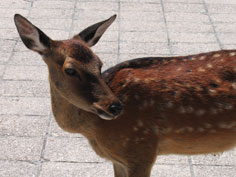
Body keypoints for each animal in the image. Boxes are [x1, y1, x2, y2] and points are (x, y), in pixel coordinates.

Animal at [13, 14, 236, 177]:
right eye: (70, 70)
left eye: (99, 63)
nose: (114, 106)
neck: (93, 131)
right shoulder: (119, 159)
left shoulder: (141, 150)